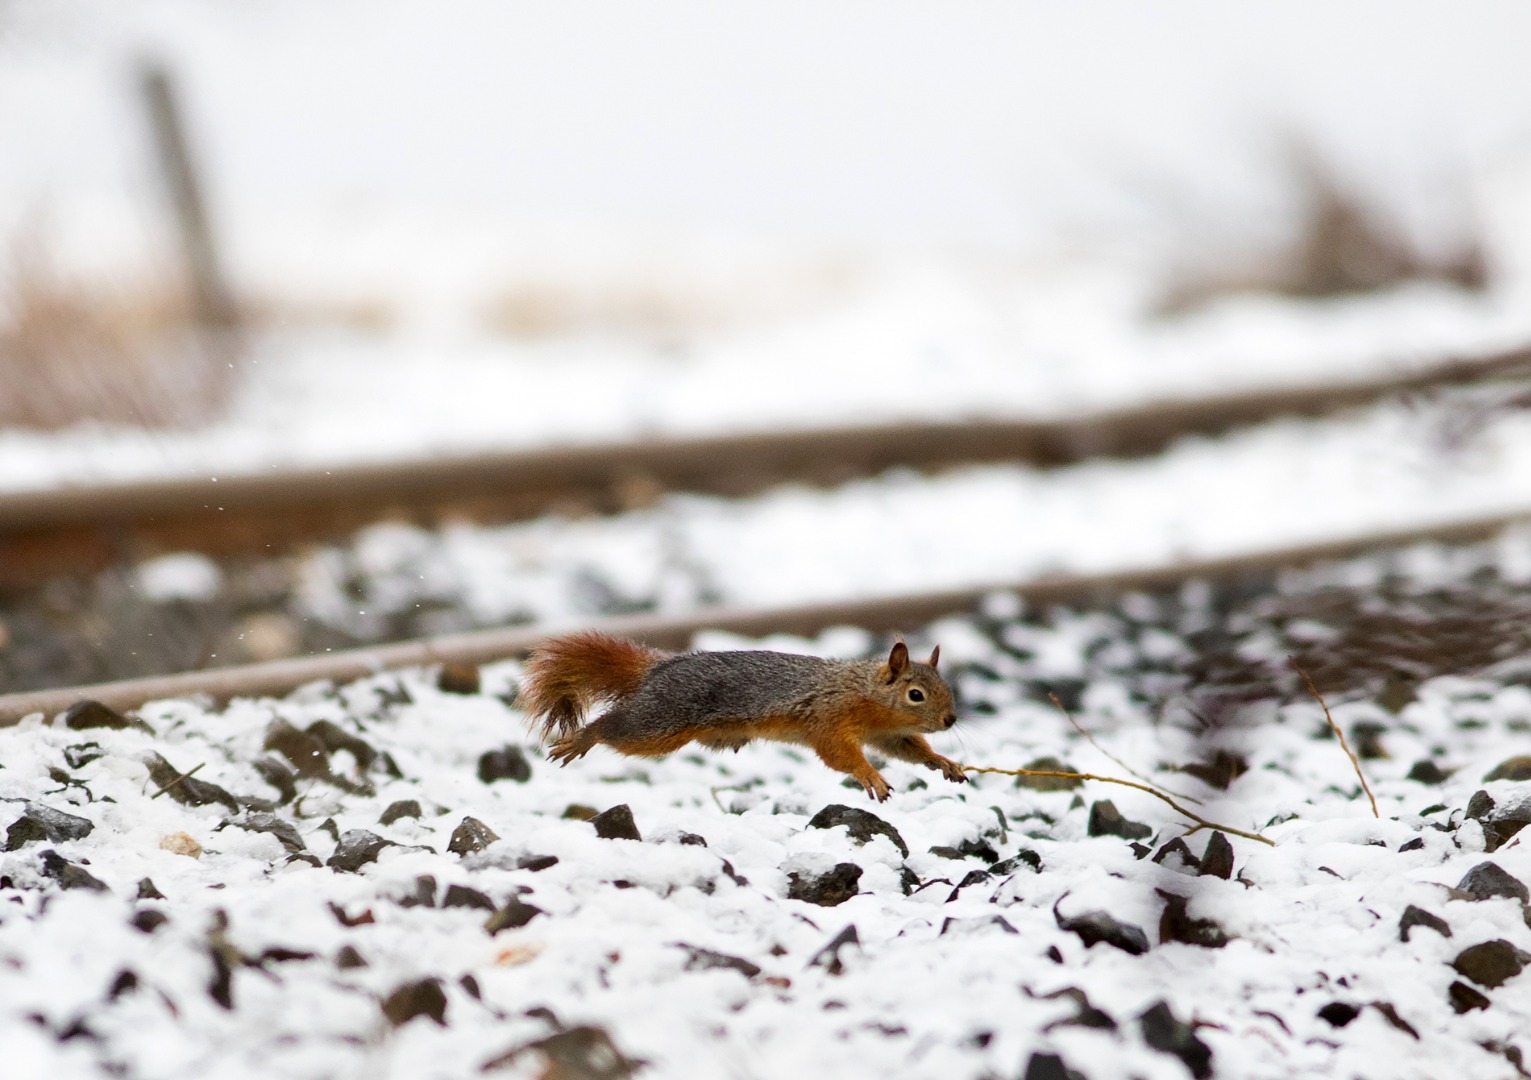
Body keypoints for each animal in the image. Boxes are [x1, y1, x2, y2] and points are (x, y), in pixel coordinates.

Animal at [520, 631, 961, 802]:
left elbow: (909, 749)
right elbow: (839, 753)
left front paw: (944, 762)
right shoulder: (828, 716)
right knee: (613, 727)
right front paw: (870, 775)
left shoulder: (888, 734)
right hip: (660, 722)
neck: (866, 693)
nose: (950, 721)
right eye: (916, 695)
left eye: (947, 686)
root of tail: (659, 669)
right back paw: (582, 738)